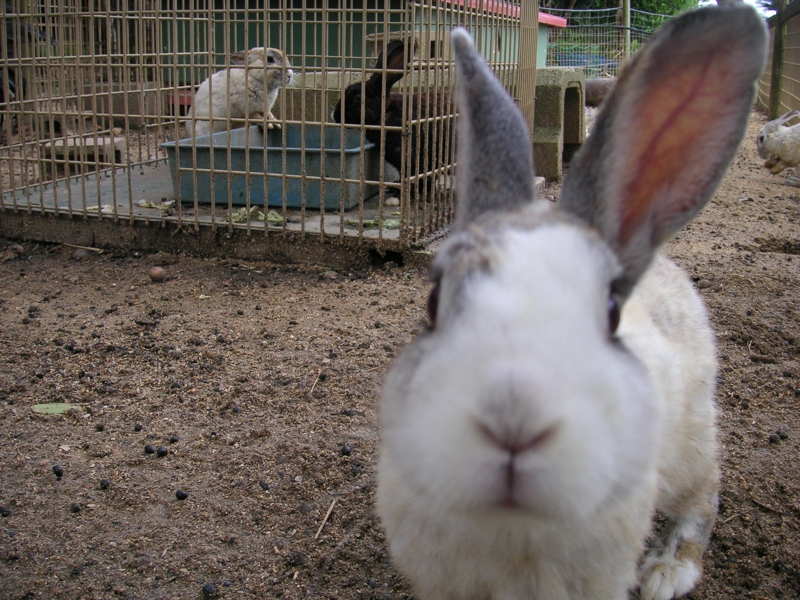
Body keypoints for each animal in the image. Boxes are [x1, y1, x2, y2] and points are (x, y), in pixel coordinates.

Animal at [376, 5, 766, 600]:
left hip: (692, 440)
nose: (513, 423)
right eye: (434, 300)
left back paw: (667, 571)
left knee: (704, 491)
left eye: (610, 314)